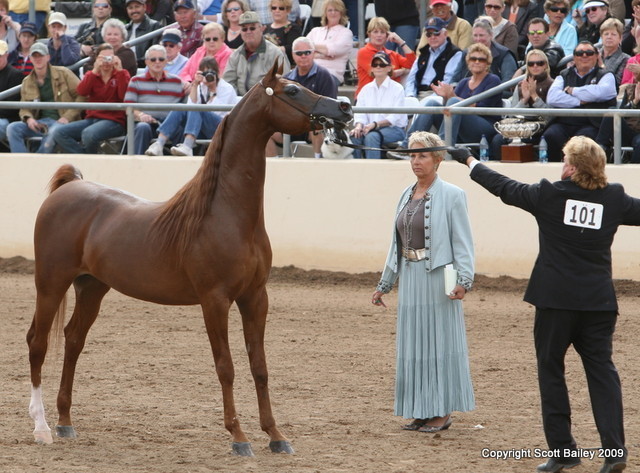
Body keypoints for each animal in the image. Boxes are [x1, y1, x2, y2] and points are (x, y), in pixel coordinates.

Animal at [26, 61, 353, 457]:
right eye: (291, 91)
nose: (345, 107)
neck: (225, 213)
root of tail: (70, 186)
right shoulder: (214, 300)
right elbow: (226, 366)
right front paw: (239, 437)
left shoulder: (256, 298)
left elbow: (259, 366)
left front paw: (276, 436)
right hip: (51, 283)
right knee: (38, 343)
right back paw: (41, 427)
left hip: (92, 287)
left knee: (73, 340)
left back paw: (65, 422)